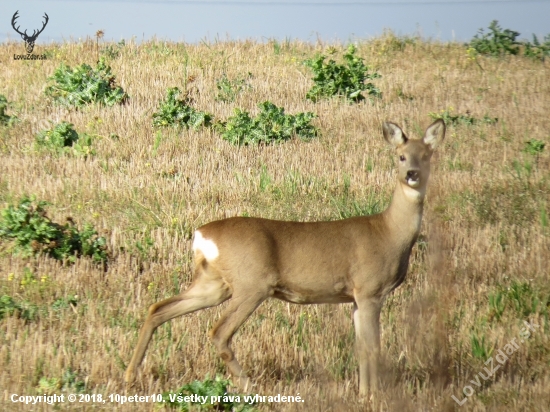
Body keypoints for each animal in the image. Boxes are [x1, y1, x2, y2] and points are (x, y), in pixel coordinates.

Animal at [126, 119, 448, 396]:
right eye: (401, 156)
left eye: (426, 155)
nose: (412, 174)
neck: (389, 232)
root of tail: (201, 234)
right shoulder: (369, 290)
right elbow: (372, 347)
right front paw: (371, 396)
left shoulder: (355, 297)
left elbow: (360, 347)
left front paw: (362, 392)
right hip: (251, 284)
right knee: (218, 332)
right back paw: (250, 387)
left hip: (213, 283)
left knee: (158, 308)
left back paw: (130, 375)